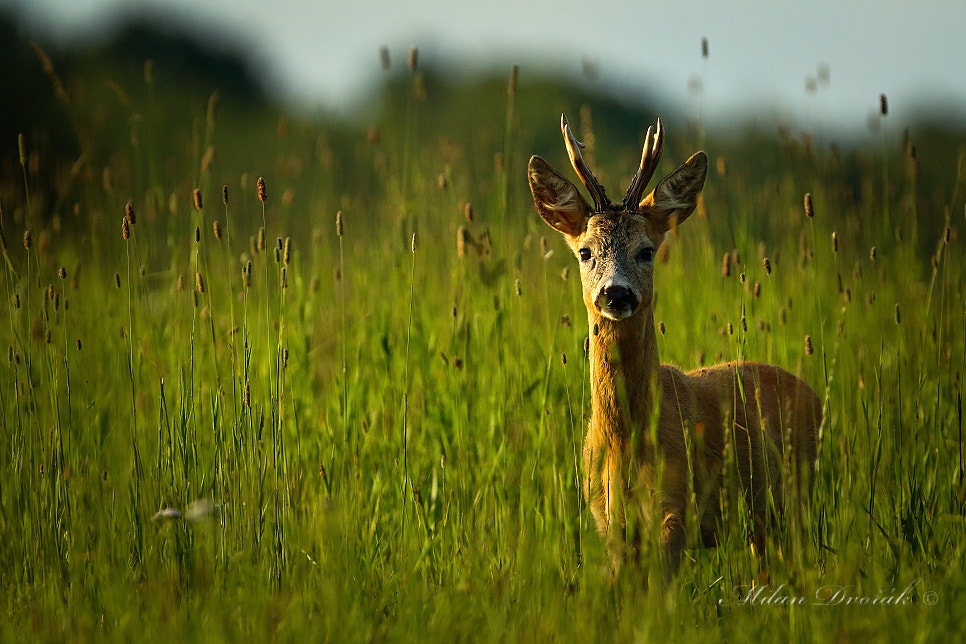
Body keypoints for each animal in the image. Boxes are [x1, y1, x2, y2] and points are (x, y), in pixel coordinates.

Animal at [528, 114, 824, 572]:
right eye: (585, 252)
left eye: (647, 251)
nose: (616, 294)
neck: (627, 441)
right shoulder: (609, 522)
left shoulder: (676, 507)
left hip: (799, 499)